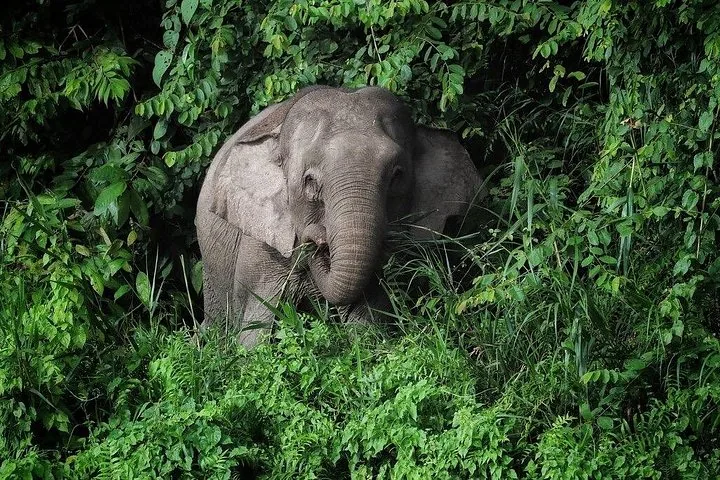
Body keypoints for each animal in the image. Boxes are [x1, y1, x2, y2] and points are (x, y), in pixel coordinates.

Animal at [196, 85, 485, 347]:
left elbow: (366, 325)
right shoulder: (261, 250)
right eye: (310, 181)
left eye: (397, 175)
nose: (318, 239)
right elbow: (256, 333)